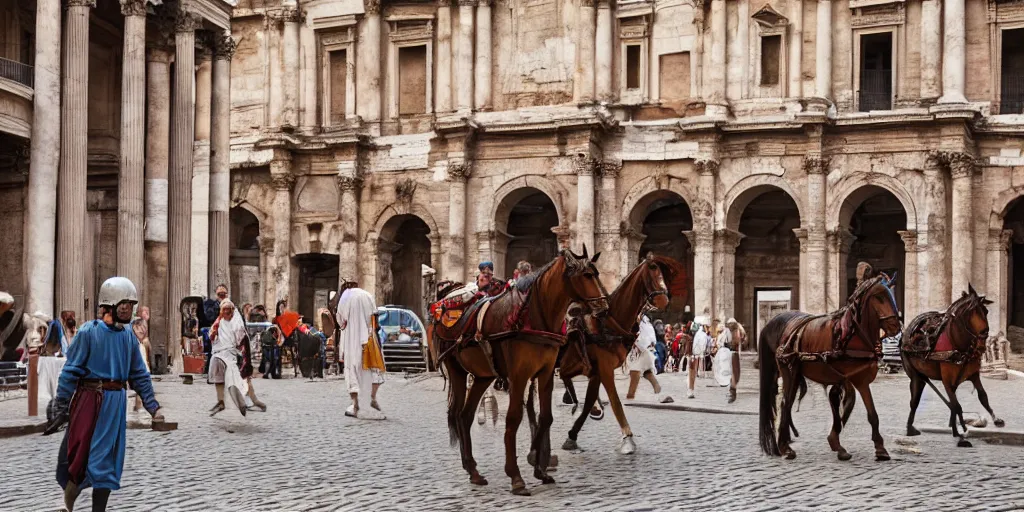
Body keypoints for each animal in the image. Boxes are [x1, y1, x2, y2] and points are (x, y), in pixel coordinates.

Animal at [434, 248, 606, 495]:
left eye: (596, 274)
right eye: (586, 276)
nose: (603, 308)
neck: (531, 317)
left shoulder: (545, 374)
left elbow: (545, 417)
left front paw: (540, 470)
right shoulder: (518, 375)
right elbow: (513, 418)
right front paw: (516, 477)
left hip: (484, 376)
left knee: (465, 415)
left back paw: (474, 471)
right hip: (457, 370)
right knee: (458, 413)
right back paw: (472, 468)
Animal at [552, 253, 679, 454]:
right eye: (652, 270)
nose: (663, 300)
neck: (608, 323)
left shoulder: (596, 372)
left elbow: (589, 403)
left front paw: (572, 435)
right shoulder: (604, 369)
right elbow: (615, 401)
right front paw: (628, 438)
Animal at [757, 274, 901, 462]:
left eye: (892, 294)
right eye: (879, 297)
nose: (896, 327)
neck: (851, 335)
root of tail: (779, 321)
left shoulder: (855, 380)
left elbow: (861, 410)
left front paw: (875, 448)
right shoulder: (852, 379)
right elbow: (851, 409)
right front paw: (840, 443)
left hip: (796, 373)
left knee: (788, 403)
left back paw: (786, 442)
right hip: (788, 370)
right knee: (785, 403)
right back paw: (784, 448)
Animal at [905, 286, 999, 446]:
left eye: (985, 311)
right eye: (971, 313)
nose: (982, 340)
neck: (958, 344)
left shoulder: (973, 375)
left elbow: (982, 397)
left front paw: (997, 420)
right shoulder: (947, 381)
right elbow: (957, 405)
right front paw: (962, 432)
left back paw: (953, 427)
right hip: (916, 376)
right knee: (914, 401)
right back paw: (910, 428)